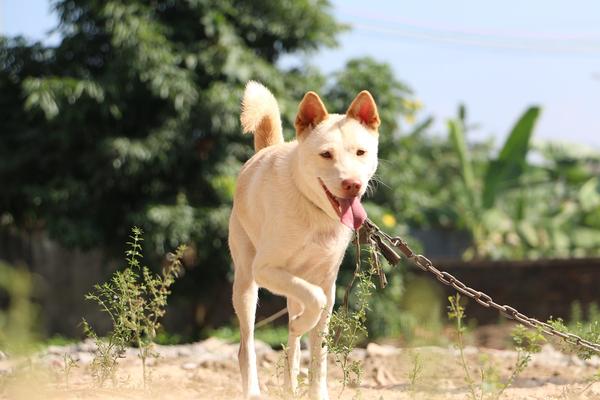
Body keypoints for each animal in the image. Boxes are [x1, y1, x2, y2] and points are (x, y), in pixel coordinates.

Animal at [230, 81, 380, 400]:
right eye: (326, 154)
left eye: (361, 152)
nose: (353, 184)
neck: (314, 212)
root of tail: (266, 150)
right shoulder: (267, 270)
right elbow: (316, 301)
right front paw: (301, 325)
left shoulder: (327, 282)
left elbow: (319, 350)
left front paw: (317, 392)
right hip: (247, 283)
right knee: (246, 346)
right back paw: (253, 389)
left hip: (289, 286)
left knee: (293, 346)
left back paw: (290, 383)